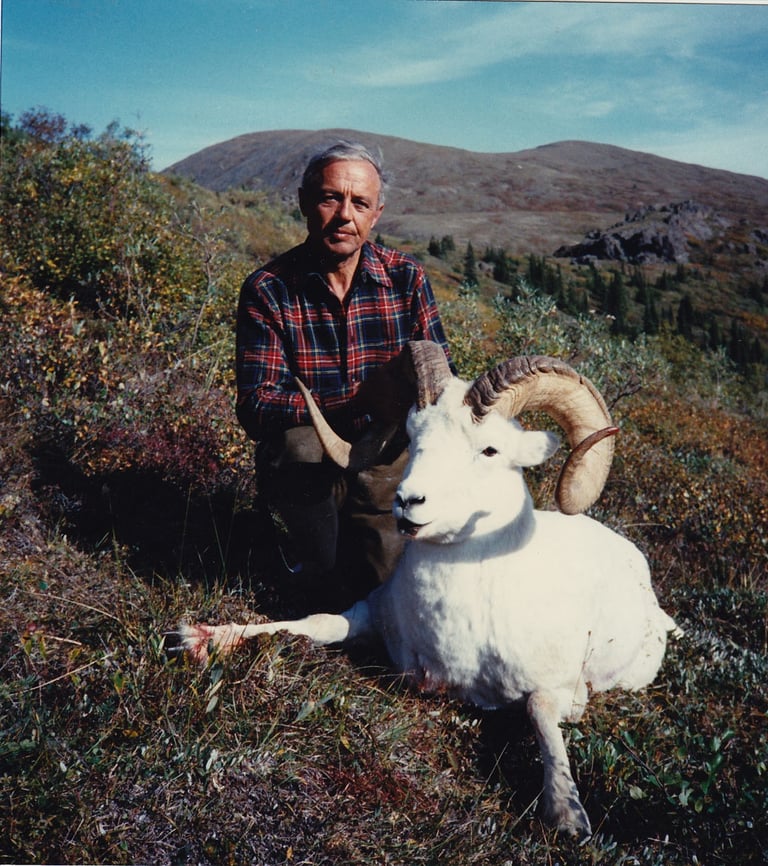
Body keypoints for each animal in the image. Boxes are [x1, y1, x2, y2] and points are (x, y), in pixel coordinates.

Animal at [181, 341, 680, 839]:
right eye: (412, 435)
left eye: (489, 449)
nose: (408, 502)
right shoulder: (367, 615)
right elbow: (314, 622)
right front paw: (201, 638)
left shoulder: (562, 692)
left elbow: (538, 711)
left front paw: (566, 813)